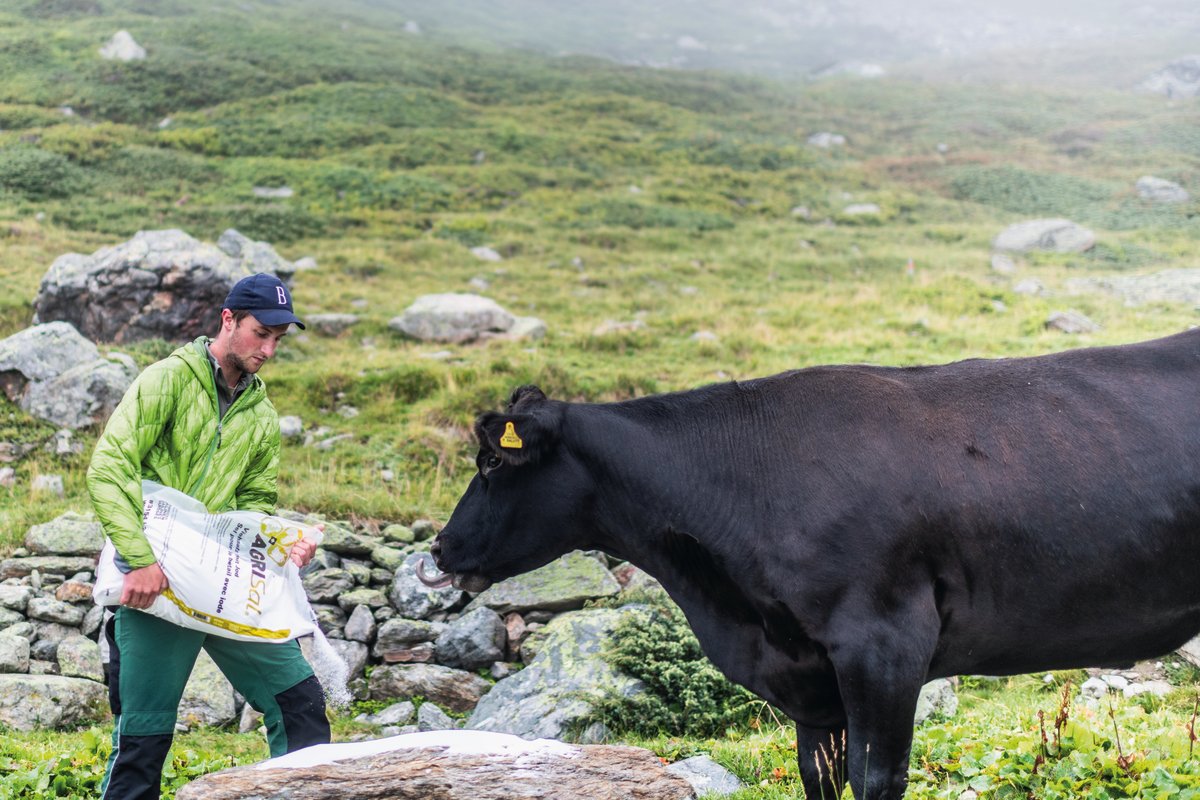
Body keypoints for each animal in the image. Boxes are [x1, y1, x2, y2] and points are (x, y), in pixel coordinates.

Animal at [419, 328, 1200, 799]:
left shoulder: (883, 645)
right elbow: (819, 778)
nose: (438, 550)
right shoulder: (807, 679)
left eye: (493, 463)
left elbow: (876, 778)